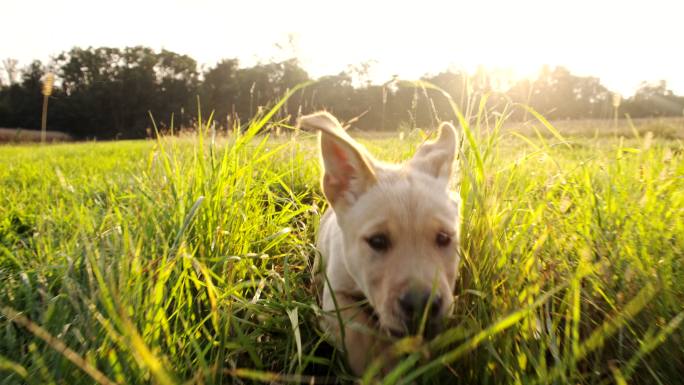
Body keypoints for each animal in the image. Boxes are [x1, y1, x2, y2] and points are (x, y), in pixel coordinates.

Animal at [298, 111, 462, 376]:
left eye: (444, 238)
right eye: (377, 241)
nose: (421, 305)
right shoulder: (337, 292)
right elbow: (357, 332)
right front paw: (381, 369)